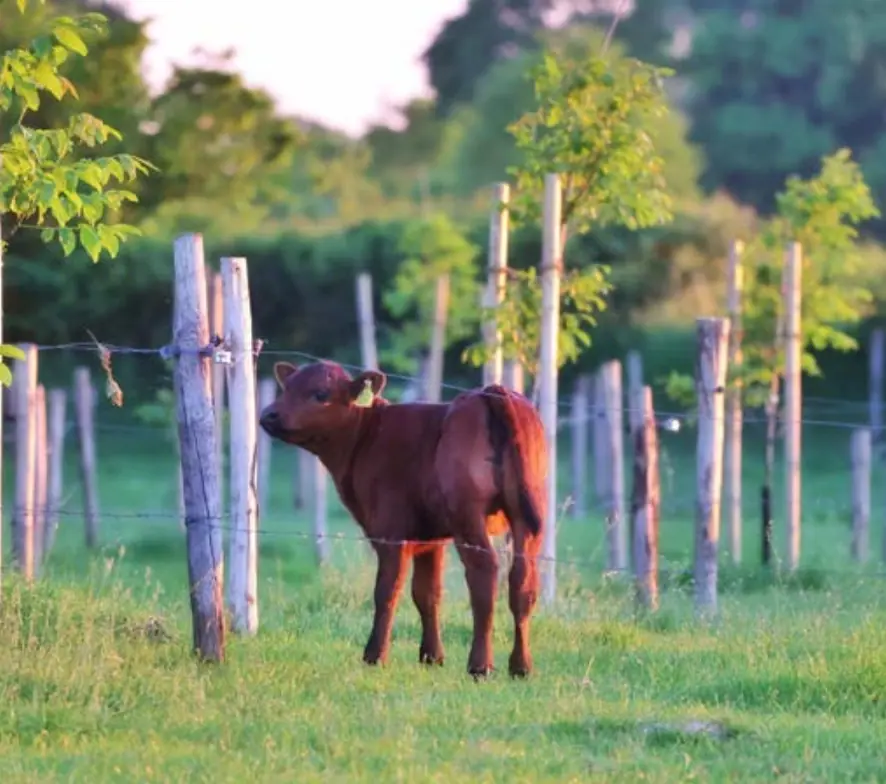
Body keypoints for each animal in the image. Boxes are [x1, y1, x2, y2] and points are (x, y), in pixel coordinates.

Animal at [258, 358, 548, 676]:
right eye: (287, 387)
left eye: (320, 394)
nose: (268, 414)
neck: (367, 437)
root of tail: (492, 392)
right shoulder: (431, 535)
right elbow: (427, 592)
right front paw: (432, 656)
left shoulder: (390, 531)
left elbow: (387, 589)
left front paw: (375, 655)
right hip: (526, 515)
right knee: (522, 581)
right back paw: (521, 665)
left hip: (468, 515)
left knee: (484, 572)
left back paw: (480, 664)